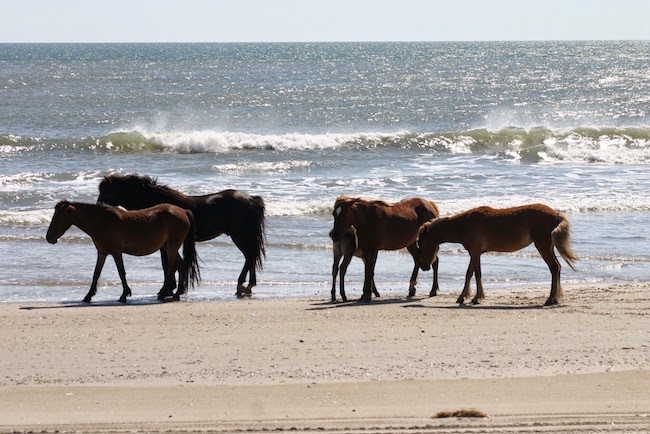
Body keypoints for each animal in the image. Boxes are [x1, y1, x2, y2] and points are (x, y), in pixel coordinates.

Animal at [46, 201, 201, 303]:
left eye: (60, 216)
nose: (49, 237)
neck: (102, 222)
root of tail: (183, 211)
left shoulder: (116, 252)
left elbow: (121, 272)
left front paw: (124, 295)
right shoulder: (102, 253)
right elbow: (96, 274)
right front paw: (88, 296)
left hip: (171, 248)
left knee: (172, 269)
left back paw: (163, 294)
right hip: (168, 247)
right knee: (181, 266)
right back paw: (177, 293)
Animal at [97, 174, 266, 297]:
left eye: (105, 190)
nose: (98, 205)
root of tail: (252, 199)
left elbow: (167, 265)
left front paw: (167, 289)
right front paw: (171, 289)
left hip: (240, 236)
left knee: (250, 257)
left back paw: (242, 285)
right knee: (251, 257)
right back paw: (248, 286)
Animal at [415, 204, 578, 306]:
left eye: (421, 243)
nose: (424, 266)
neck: (464, 224)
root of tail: (555, 214)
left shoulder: (475, 253)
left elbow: (477, 273)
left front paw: (477, 297)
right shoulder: (474, 253)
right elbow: (469, 273)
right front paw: (462, 297)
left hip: (543, 246)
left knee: (554, 268)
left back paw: (550, 299)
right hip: (548, 247)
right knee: (557, 267)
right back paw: (555, 298)